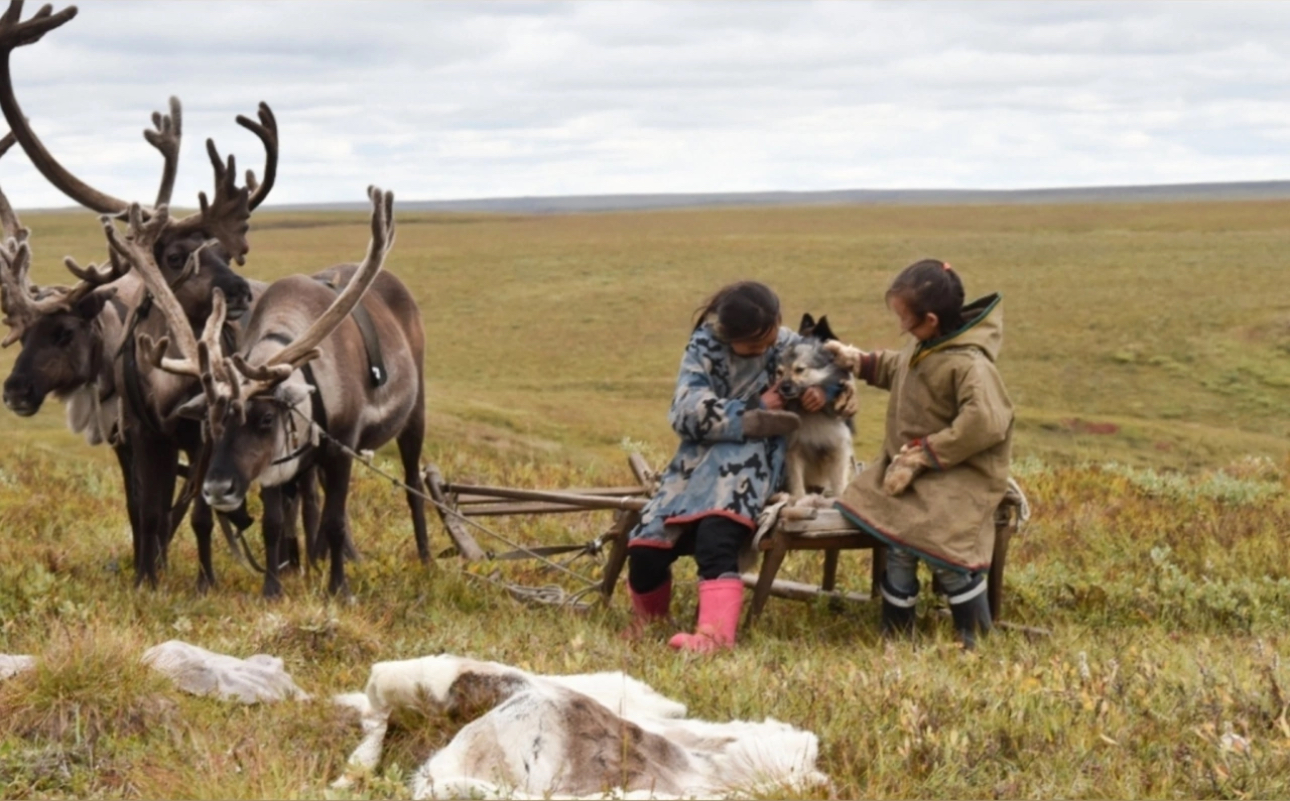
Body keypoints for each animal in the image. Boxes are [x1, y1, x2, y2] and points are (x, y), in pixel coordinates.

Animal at [774, 313, 856, 497]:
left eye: (799, 369)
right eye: (779, 372)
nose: (784, 388)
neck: (809, 412)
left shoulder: (837, 448)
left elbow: (839, 484)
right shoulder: (793, 451)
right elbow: (797, 486)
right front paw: (799, 499)